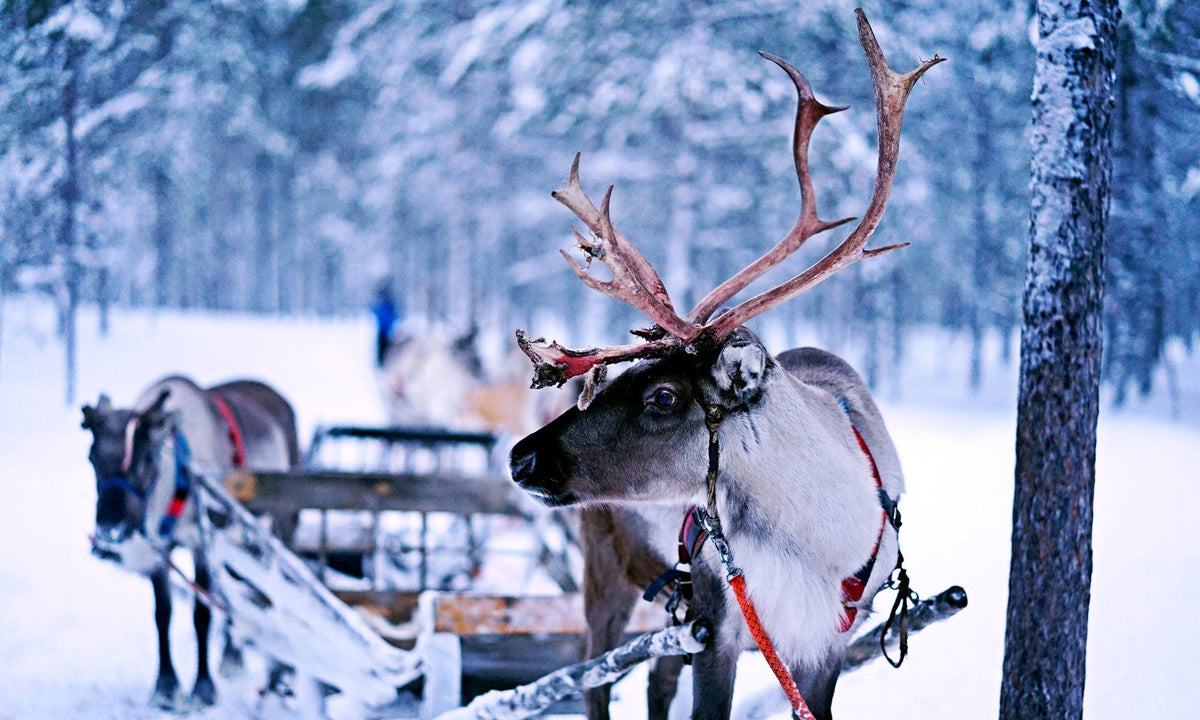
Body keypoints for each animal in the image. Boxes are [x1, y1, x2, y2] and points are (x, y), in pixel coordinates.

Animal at [508, 11, 942, 720]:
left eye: (662, 396)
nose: (520, 457)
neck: (816, 541)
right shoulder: (718, 624)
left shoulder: (821, 644)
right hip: (606, 576)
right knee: (591, 674)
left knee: (653, 680)